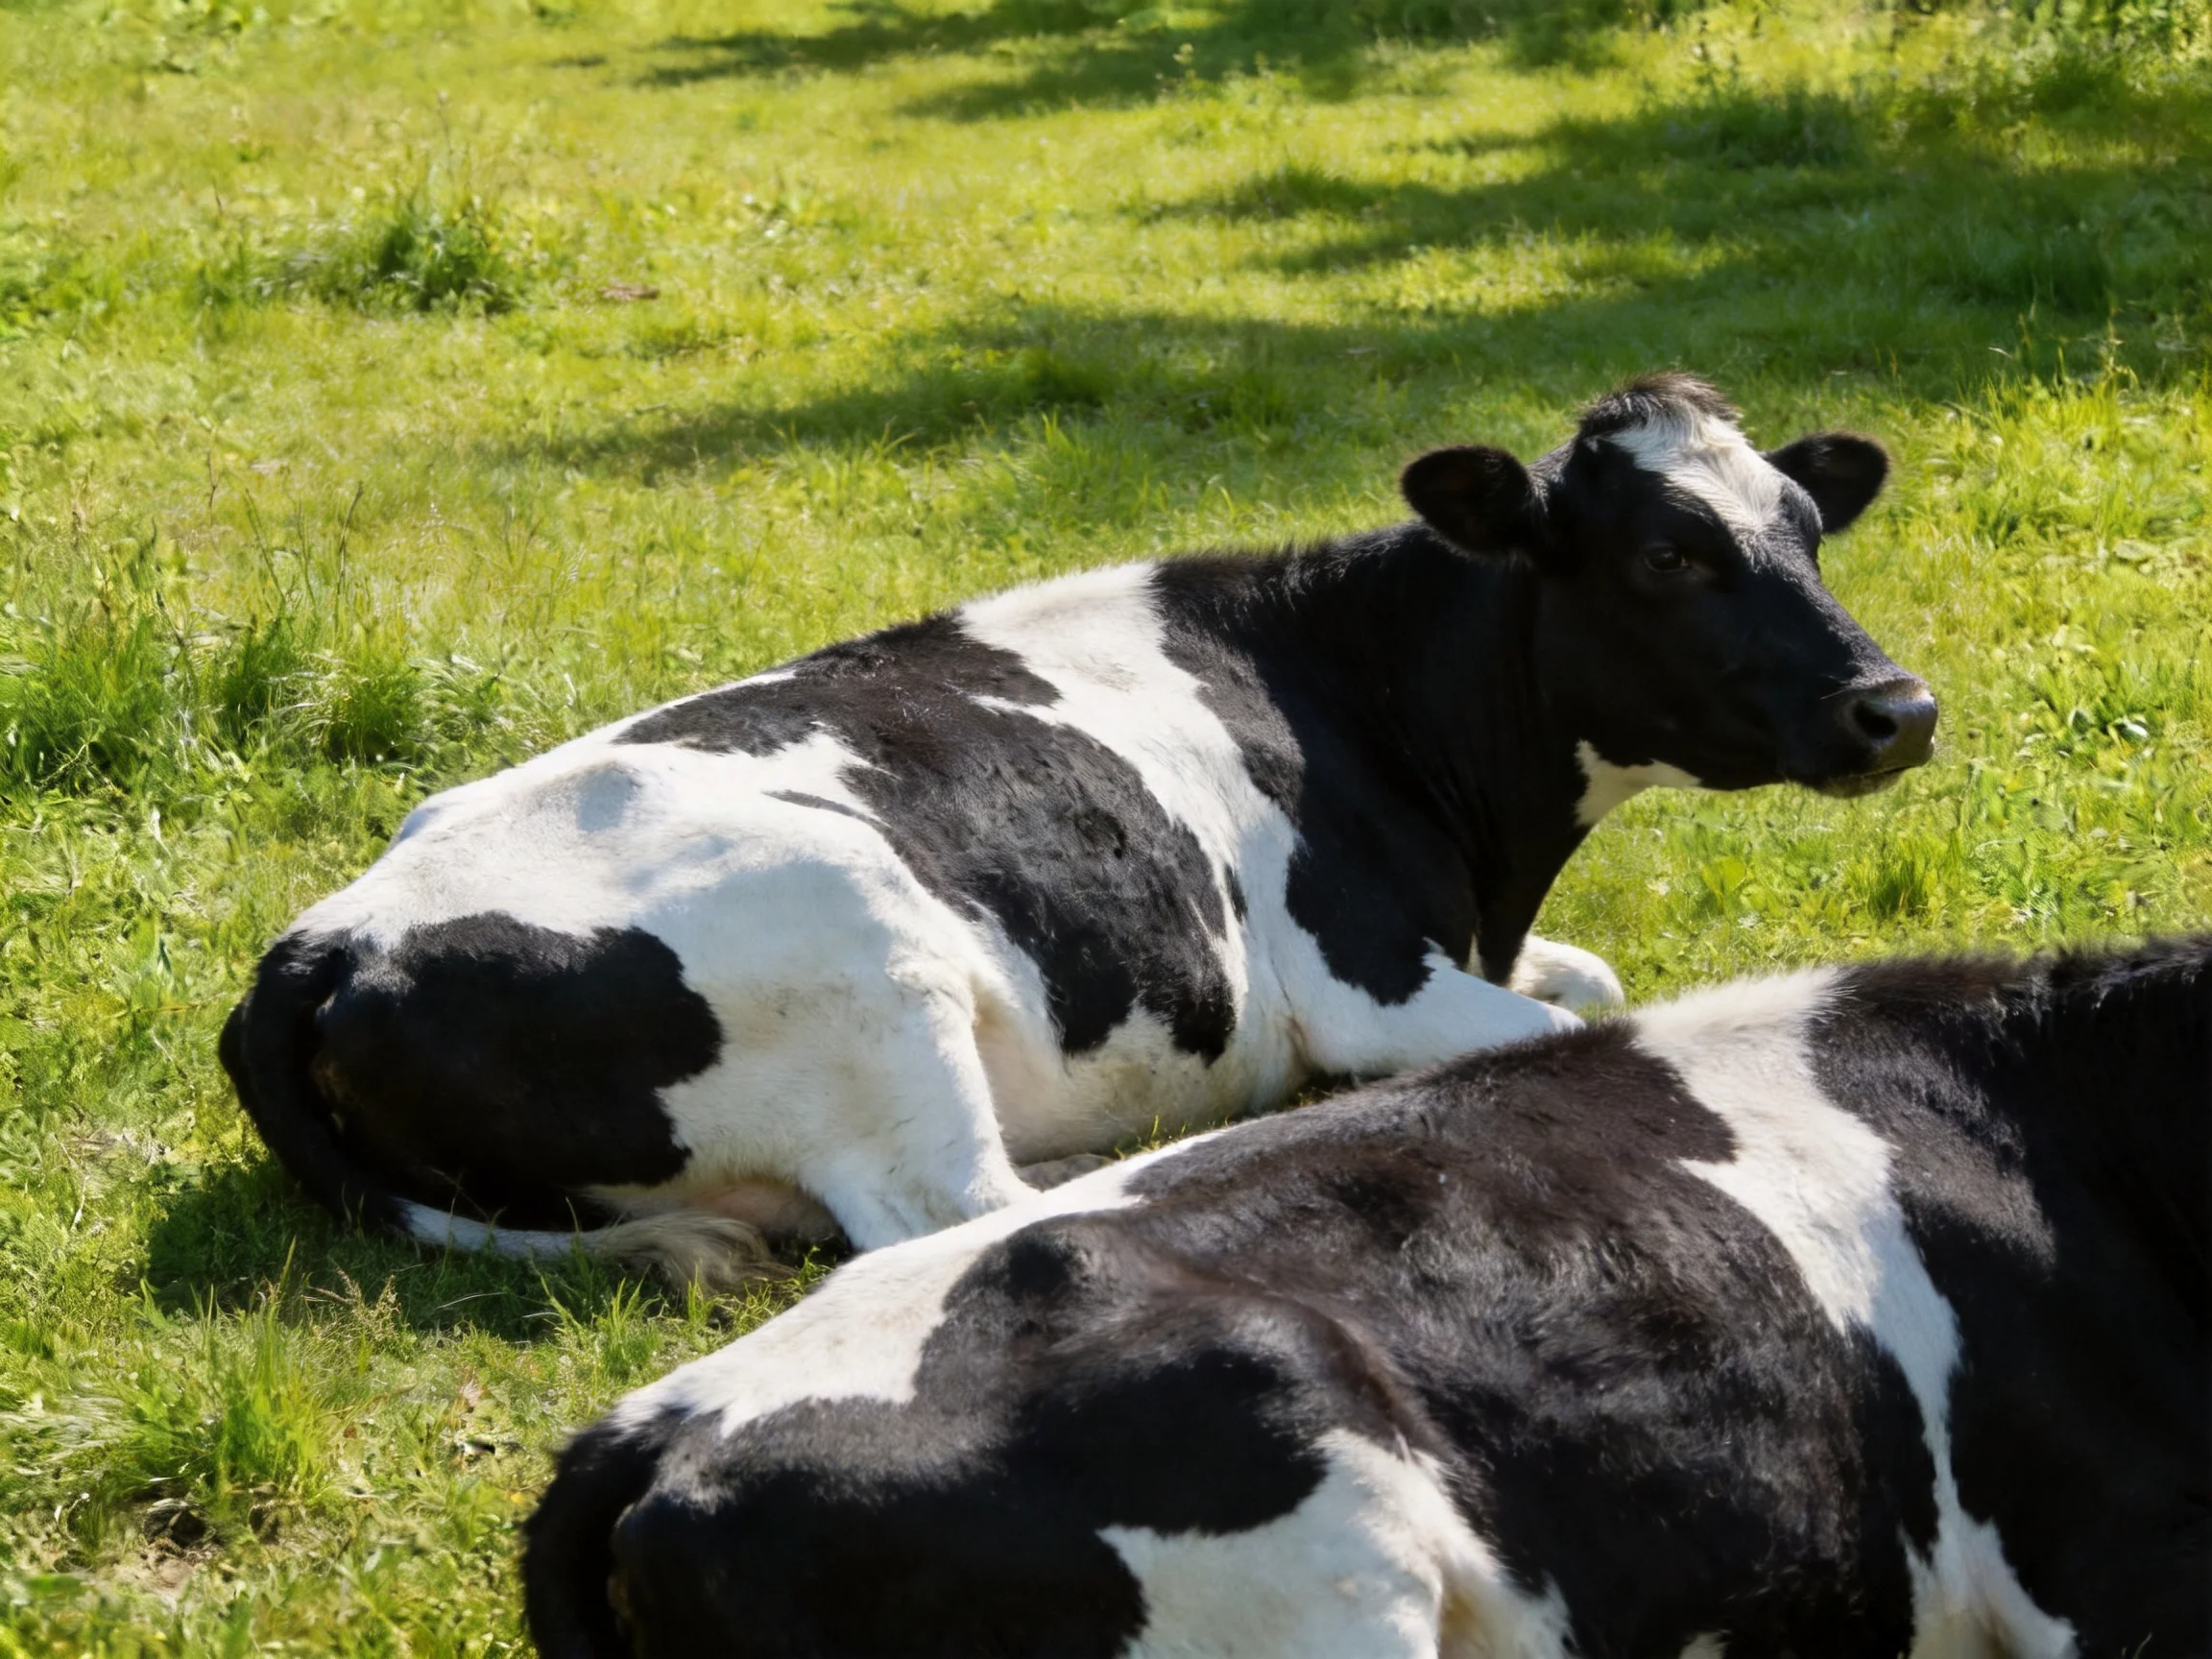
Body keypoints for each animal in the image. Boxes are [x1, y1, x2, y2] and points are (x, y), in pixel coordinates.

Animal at [221, 374, 1936, 1284]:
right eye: (1665, 555)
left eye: (1805, 527)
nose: (1897, 706)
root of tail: (323, 945)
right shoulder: (1365, 983)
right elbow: (1571, 1024)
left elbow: (1589, 982)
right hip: (856, 945)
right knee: (957, 1214)